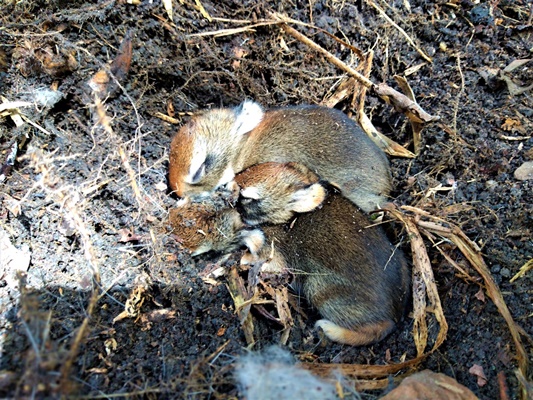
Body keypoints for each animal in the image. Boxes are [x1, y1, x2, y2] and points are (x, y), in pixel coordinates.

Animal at [168, 162, 410, 346]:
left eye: (247, 197)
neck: (289, 218)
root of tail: (396, 312)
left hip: (319, 289)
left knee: (376, 329)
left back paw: (327, 328)